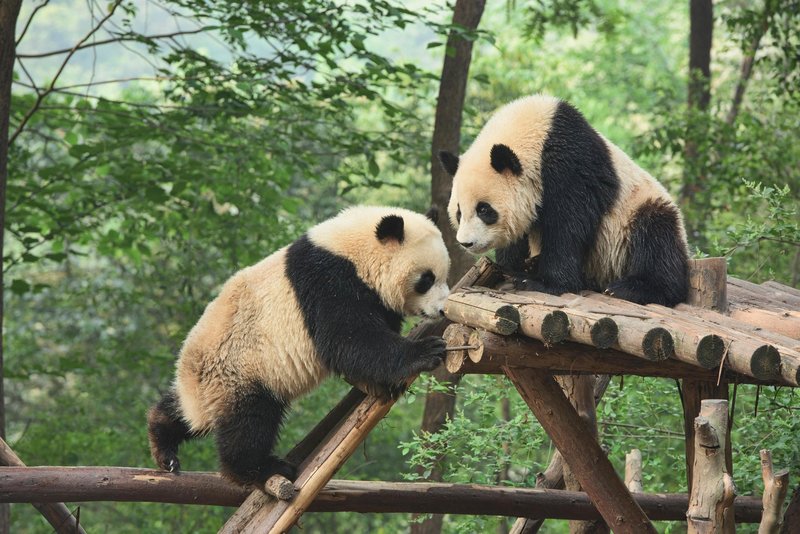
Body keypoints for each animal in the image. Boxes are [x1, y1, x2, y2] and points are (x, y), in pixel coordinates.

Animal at [148, 207, 450, 492]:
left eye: (444, 275)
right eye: (426, 279)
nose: (442, 309)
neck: (353, 250)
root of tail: (192, 378)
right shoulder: (328, 282)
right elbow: (349, 338)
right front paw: (425, 352)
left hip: (207, 387)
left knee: (183, 414)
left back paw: (164, 445)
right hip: (238, 370)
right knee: (248, 423)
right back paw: (260, 469)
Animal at [440, 94, 692, 308]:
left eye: (484, 210)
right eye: (459, 213)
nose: (466, 243)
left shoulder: (571, 165)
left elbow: (568, 225)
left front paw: (543, 283)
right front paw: (512, 266)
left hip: (636, 213)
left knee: (656, 240)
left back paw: (630, 288)